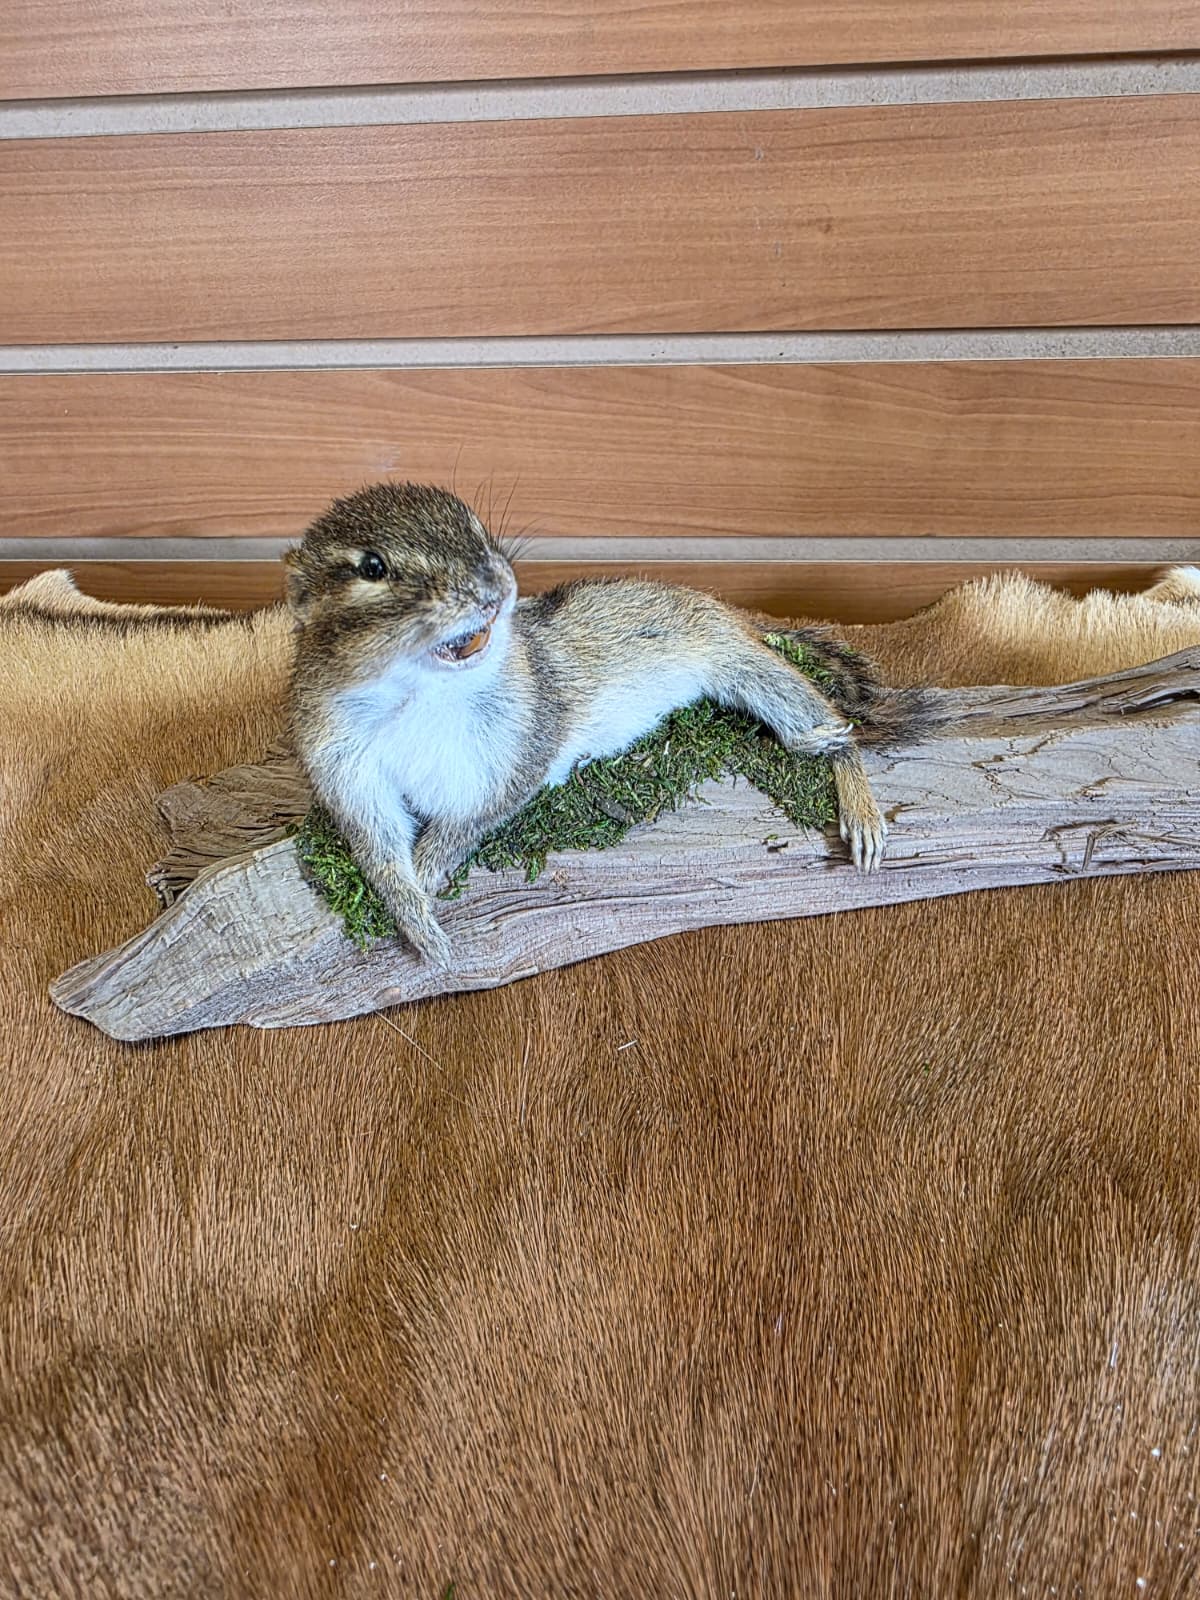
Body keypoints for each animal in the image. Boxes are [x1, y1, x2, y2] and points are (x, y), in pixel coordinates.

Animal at [286, 482, 935, 964]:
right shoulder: (342, 766)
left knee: (836, 732)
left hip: (753, 673)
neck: (421, 695)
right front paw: (413, 915)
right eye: (372, 566)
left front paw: (429, 871)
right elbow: (376, 845)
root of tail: (726, 609)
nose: (496, 586)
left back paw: (860, 810)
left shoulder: (523, 743)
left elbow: (473, 819)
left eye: (475, 525)